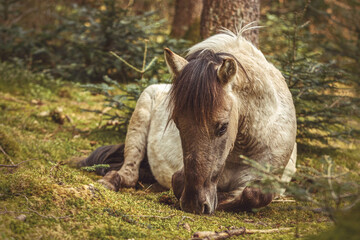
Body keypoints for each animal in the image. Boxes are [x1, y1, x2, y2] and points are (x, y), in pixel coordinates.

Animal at [75, 27, 296, 215]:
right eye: (177, 123)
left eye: (223, 127)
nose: (194, 203)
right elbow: (180, 180)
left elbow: (254, 195)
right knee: (128, 174)